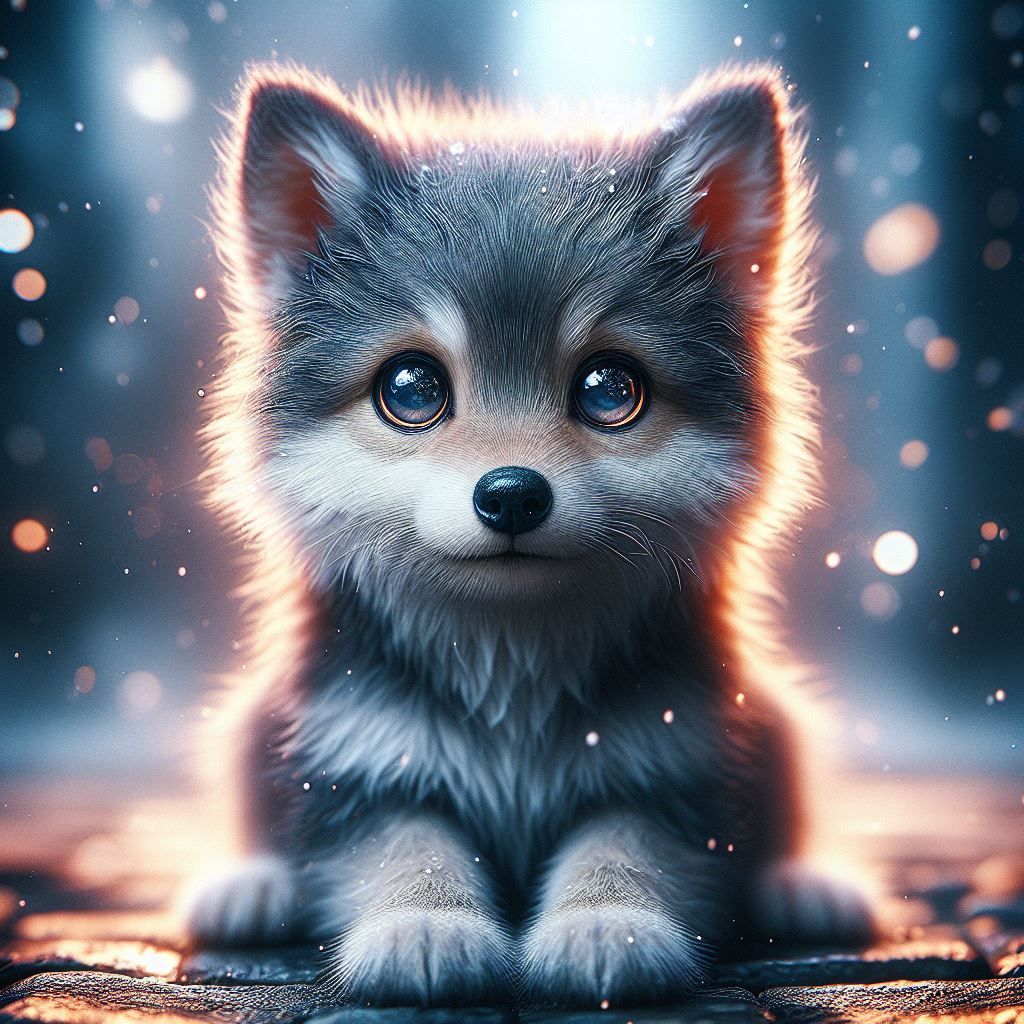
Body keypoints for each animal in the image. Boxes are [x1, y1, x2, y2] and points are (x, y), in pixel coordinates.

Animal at [183, 61, 871, 1007]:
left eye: (611, 390)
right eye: (410, 388)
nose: (511, 494)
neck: (511, 666)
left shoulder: (676, 761)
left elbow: (625, 847)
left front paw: (606, 926)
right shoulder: (355, 760)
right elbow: (405, 846)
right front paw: (424, 926)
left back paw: (802, 887)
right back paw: (252, 886)